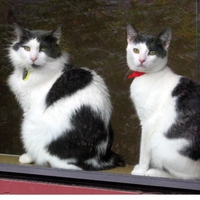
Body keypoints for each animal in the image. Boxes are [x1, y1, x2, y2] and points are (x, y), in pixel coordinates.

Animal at [7, 23, 123, 170]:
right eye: (27, 48)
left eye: (43, 49)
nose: (33, 58)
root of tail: (97, 159)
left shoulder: (29, 108)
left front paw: (27, 157)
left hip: (30, 125)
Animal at [126, 23, 200, 180]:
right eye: (136, 50)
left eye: (152, 52)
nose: (141, 60)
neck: (146, 76)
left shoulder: (148, 122)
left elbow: (144, 150)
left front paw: (141, 170)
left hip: (159, 144)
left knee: (187, 177)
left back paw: (154, 172)